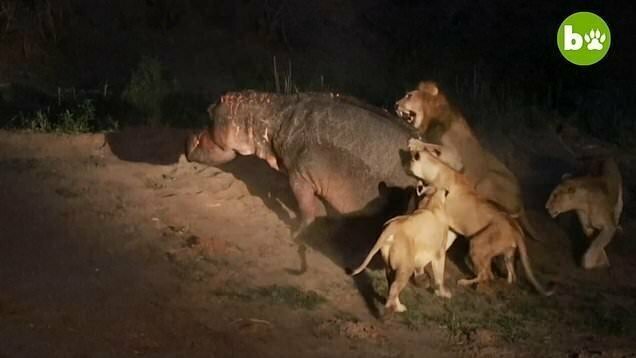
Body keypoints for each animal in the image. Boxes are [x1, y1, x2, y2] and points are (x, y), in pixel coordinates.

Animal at [348, 180, 458, 312]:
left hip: (390, 264)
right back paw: (393, 309)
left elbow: (421, 267)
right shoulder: (439, 252)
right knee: (394, 287)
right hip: (406, 266)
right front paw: (443, 293)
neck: (431, 202)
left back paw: (399, 306)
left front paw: (421, 279)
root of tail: (393, 226)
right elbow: (440, 276)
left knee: (391, 283)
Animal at [396, 81, 540, 242]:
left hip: (487, 181)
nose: (395, 105)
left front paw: (415, 143)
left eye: (409, 96)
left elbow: (434, 147)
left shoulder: (455, 157)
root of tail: (522, 203)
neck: (431, 122)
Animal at [410, 138, 556, 296]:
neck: (439, 170)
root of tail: (516, 229)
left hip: (478, 244)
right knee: (512, 275)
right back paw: (504, 284)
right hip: (508, 254)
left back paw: (466, 283)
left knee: (488, 274)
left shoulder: (429, 207)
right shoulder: (452, 228)